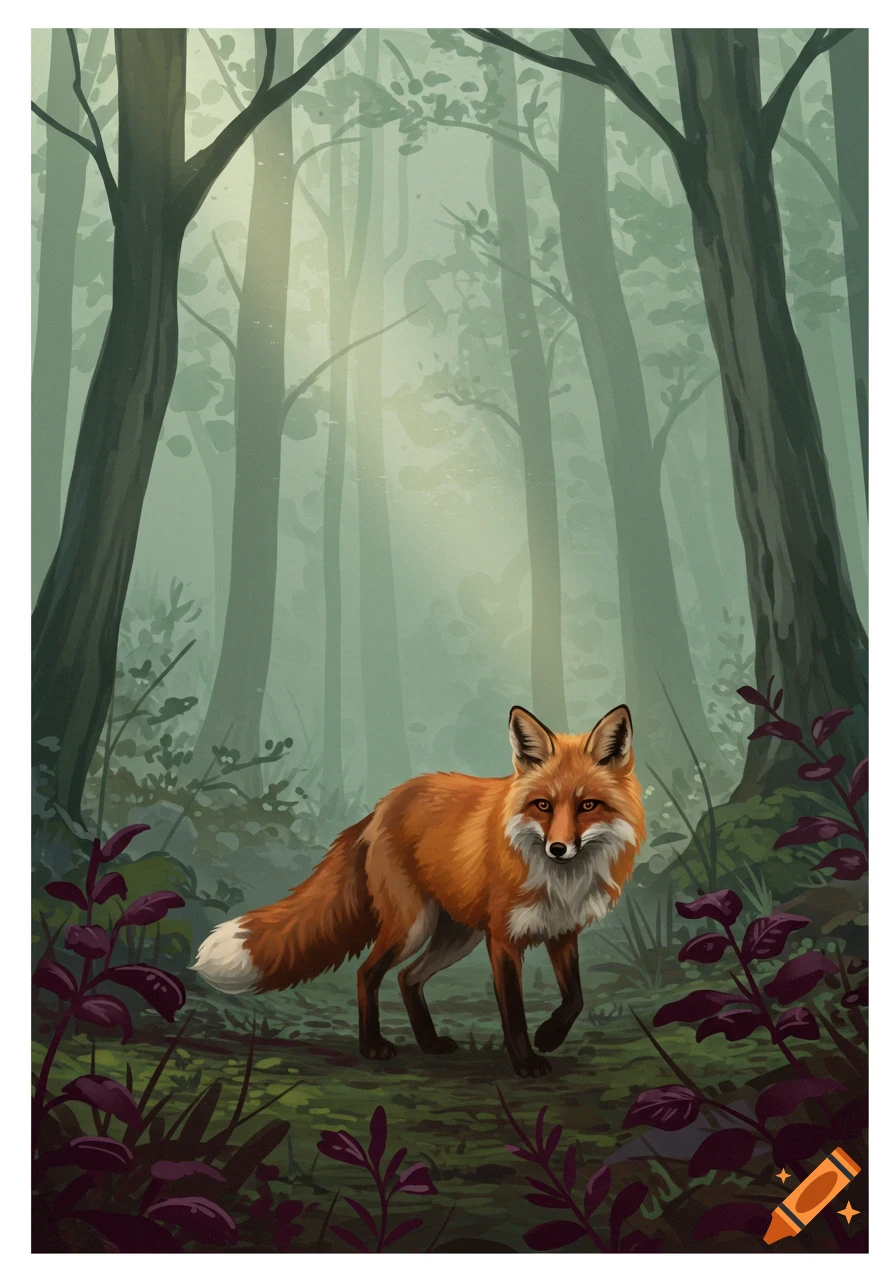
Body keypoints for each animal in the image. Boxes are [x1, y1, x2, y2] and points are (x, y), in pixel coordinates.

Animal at [192, 704, 645, 1077]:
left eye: (588, 806)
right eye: (543, 806)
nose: (558, 848)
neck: (558, 879)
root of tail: (380, 806)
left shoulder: (562, 931)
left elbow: (575, 999)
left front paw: (550, 1035)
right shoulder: (502, 938)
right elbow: (514, 1014)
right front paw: (526, 1062)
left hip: (457, 936)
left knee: (408, 978)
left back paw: (428, 1043)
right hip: (414, 926)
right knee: (368, 973)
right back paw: (372, 1047)